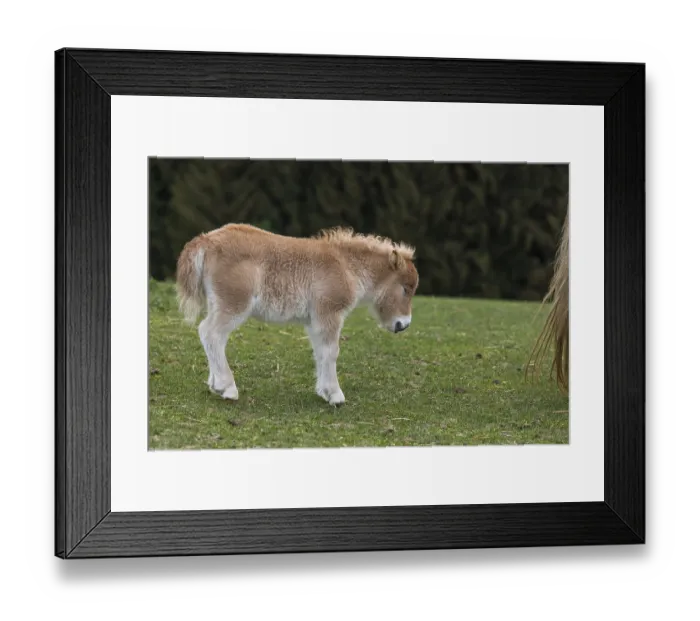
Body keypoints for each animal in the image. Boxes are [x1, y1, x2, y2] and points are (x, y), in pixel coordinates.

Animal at [175, 224, 419, 406]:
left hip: (218, 303)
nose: (403, 324)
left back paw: (214, 383)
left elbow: (320, 351)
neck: (347, 267)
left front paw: (324, 392)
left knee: (212, 335)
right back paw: (226, 387)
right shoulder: (329, 313)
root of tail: (205, 241)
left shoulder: (315, 321)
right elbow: (331, 351)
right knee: (210, 332)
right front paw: (336, 396)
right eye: (406, 288)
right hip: (234, 303)